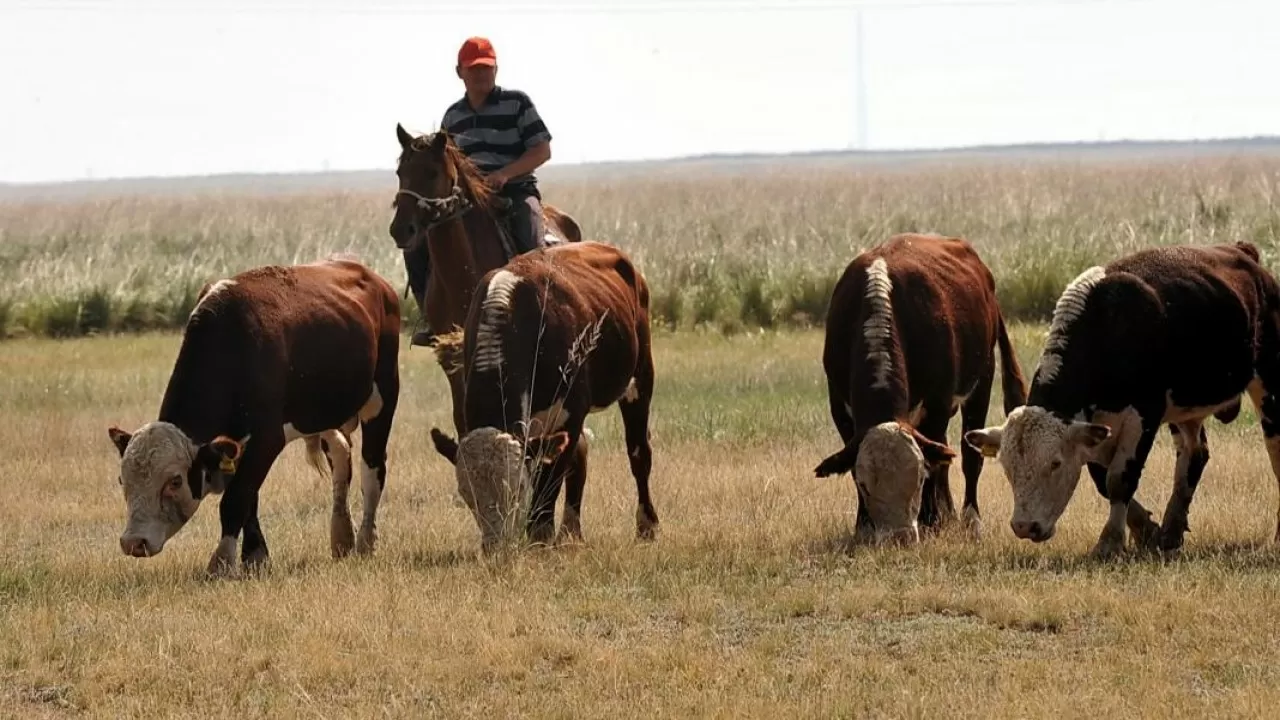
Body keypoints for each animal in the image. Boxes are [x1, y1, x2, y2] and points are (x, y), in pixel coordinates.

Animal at [105, 254, 399, 573]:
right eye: (122, 480)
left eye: (175, 481)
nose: (134, 542)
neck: (232, 345)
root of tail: (375, 279)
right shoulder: (236, 446)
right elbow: (249, 499)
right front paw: (255, 556)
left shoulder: (267, 439)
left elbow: (236, 500)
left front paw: (221, 562)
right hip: (325, 415)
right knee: (341, 457)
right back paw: (342, 537)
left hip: (381, 401)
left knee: (372, 471)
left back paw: (366, 542)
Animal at [386, 121, 583, 427]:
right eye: (400, 173)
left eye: (432, 172)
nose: (401, 230)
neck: (460, 275)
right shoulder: (450, 354)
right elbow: (462, 415)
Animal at [427, 240, 655, 548]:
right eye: (466, 495)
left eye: (517, 490)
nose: (495, 546)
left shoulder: (569, 415)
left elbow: (549, 482)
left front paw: (539, 538)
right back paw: (571, 532)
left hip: (640, 378)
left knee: (638, 452)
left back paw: (647, 525)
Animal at [819, 235, 1029, 543]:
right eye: (866, 485)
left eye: (918, 478)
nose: (899, 536)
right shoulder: (840, 408)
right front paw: (863, 524)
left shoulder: (938, 401)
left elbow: (937, 462)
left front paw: (931, 520)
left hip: (982, 381)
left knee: (968, 458)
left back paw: (969, 520)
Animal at [962, 239, 1280, 556]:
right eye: (1008, 468)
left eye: (1055, 463)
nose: (1024, 527)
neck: (1108, 326)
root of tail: (1242, 251)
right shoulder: (1094, 427)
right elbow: (1101, 480)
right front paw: (1146, 530)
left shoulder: (1144, 415)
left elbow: (1119, 480)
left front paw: (1110, 542)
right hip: (1184, 409)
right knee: (1194, 454)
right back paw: (1171, 531)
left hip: (1268, 385)